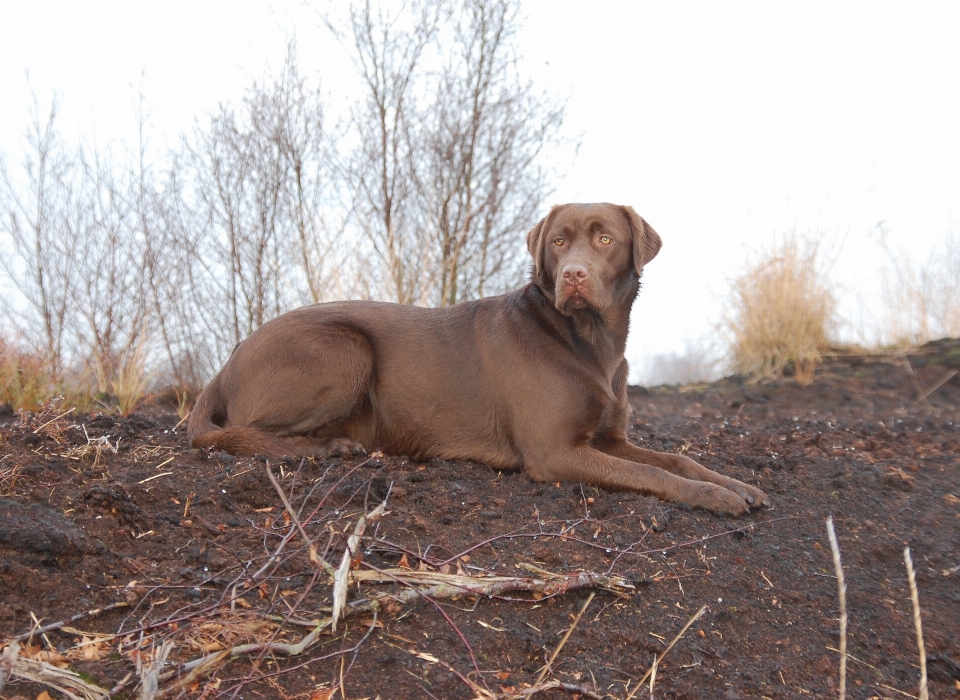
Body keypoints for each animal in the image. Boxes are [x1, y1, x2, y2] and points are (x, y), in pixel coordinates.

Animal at [191, 202, 768, 516]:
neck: (589, 343)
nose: (573, 275)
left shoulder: (608, 437)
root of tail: (228, 360)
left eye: (605, 239)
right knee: (238, 433)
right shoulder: (553, 451)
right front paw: (713, 497)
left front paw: (737, 485)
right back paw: (324, 448)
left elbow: (677, 460)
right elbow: (653, 474)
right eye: (559, 242)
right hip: (344, 351)